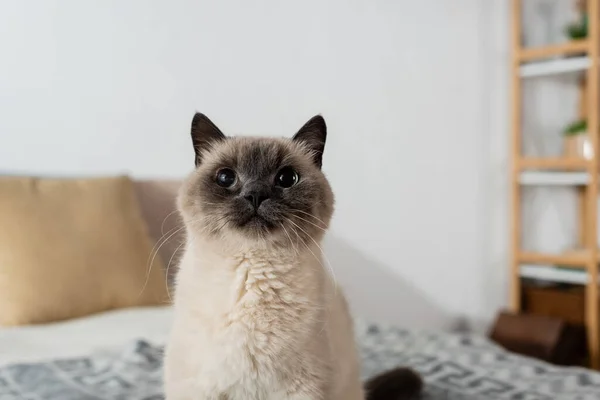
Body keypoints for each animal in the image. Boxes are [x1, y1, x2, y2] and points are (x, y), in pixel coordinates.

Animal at [162, 112, 420, 400]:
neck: (251, 276)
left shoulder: (300, 390)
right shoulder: (200, 389)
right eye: (226, 177)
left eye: (286, 178)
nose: (255, 195)